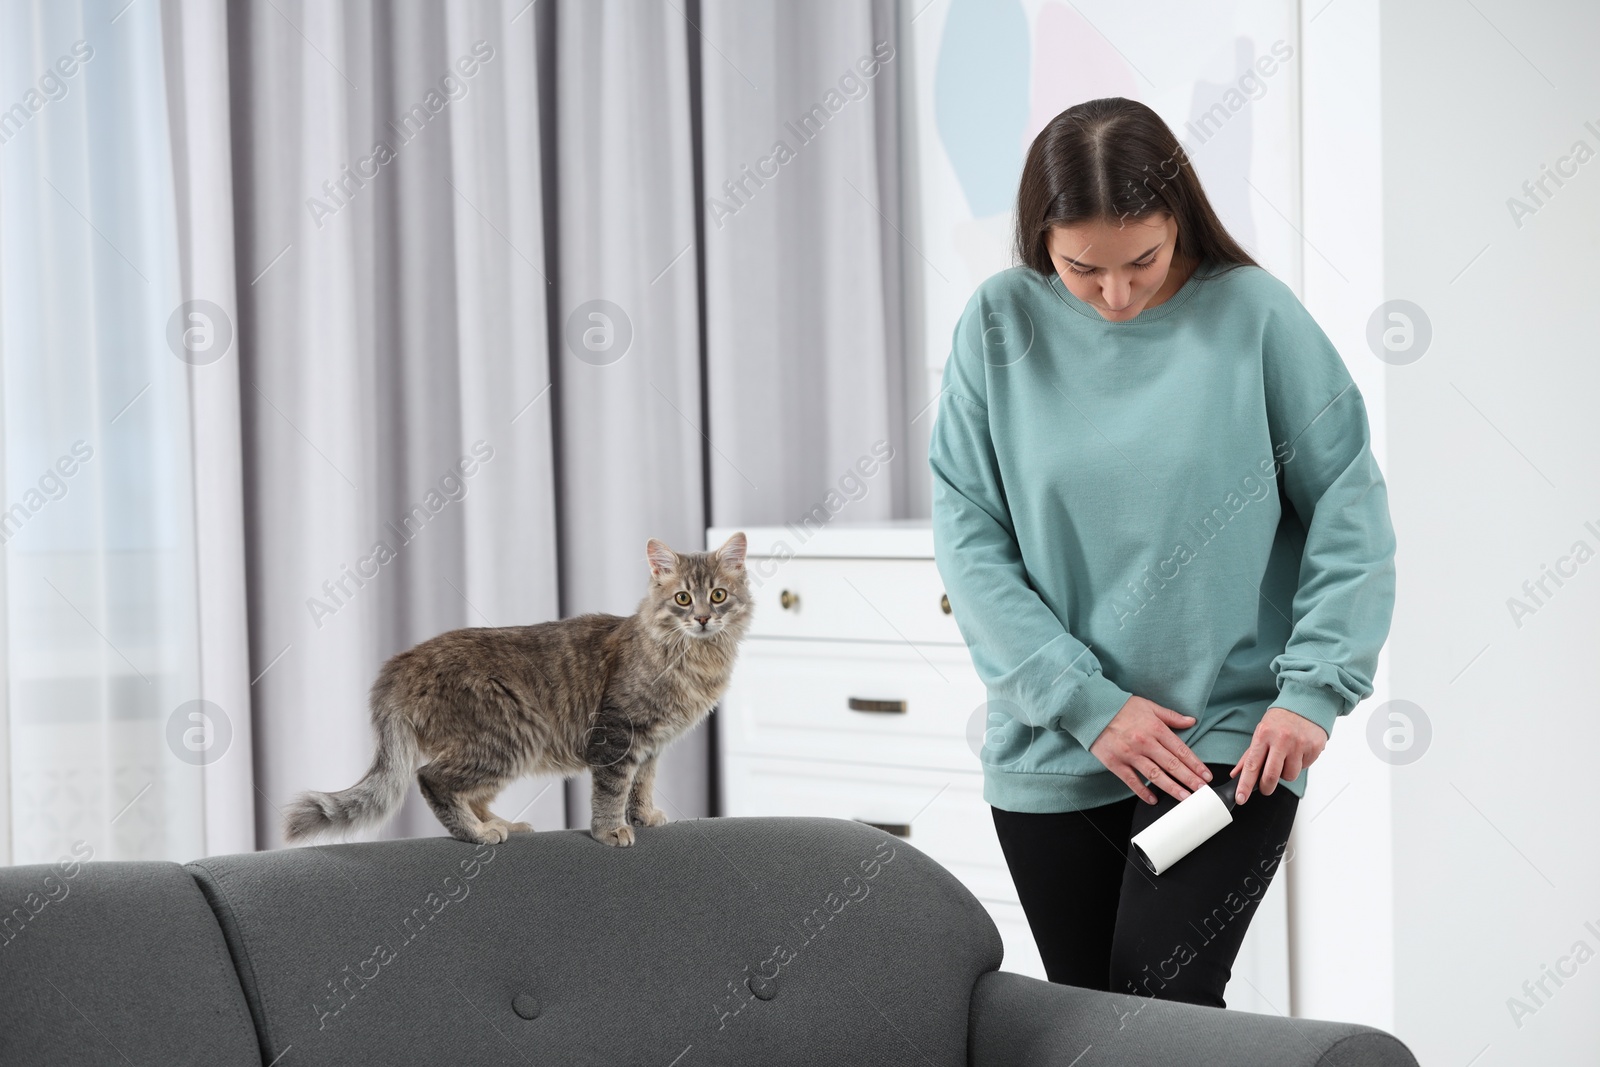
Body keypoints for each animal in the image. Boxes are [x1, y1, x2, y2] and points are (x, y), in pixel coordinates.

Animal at [283, 534, 755, 851]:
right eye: (683, 599)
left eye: (718, 595)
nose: (702, 618)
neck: (694, 658)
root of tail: (402, 663)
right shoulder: (617, 732)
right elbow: (612, 790)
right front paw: (611, 830)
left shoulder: (651, 744)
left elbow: (642, 784)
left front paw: (644, 816)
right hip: (510, 735)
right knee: (432, 779)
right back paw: (478, 834)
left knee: (471, 793)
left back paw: (505, 825)